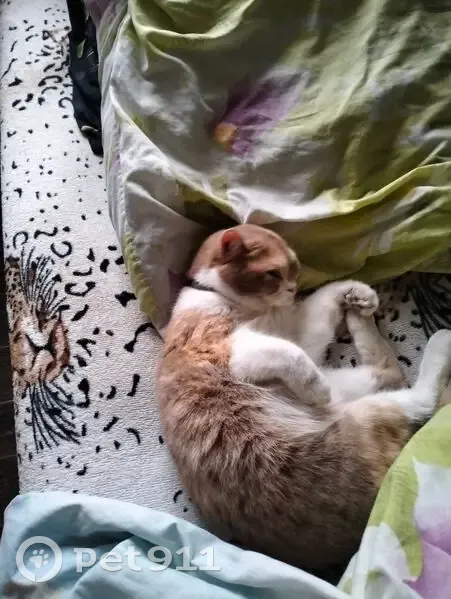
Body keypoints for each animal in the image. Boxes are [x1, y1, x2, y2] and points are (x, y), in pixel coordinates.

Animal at [158, 224, 451, 572]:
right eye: (273, 273)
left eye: (295, 269)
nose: (292, 289)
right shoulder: (236, 351)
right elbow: (293, 356)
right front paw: (315, 388)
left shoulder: (300, 337)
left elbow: (322, 303)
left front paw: (356, 292)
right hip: (365, 413)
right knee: (418, 394)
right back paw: (441, 340)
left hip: (354, 388)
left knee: (389, 371)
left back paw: (360, 314)